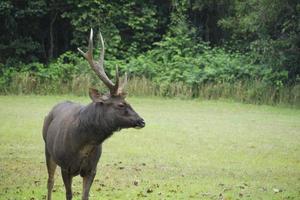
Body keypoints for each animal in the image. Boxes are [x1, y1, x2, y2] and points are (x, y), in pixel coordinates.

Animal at [42, 28, 145, 200]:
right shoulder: (65, 167)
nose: (142, 121)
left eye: (129, 102)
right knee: (50, 181)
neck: (83, 146)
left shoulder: (92, 169)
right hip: (48, 149)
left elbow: (85, 196)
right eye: (121, 104)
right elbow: (68, 194)